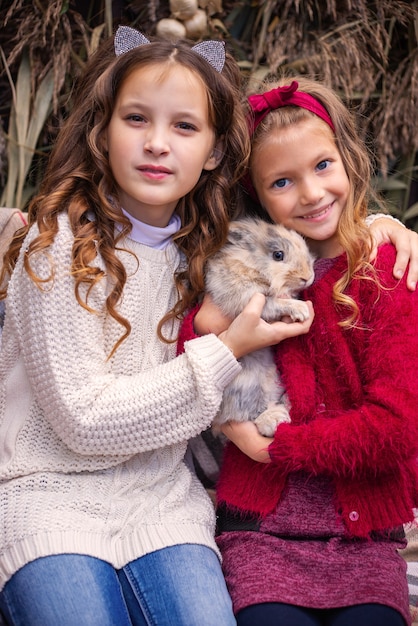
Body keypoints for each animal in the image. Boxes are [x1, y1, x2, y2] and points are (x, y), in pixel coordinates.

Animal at [206, 217, 314, 436]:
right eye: (278, 255)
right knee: (247, 416)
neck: (252, 265)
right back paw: (274, 420)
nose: (307, 277)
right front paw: (300, 310)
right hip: (244, 388)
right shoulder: (250, 298)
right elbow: (276, 303)